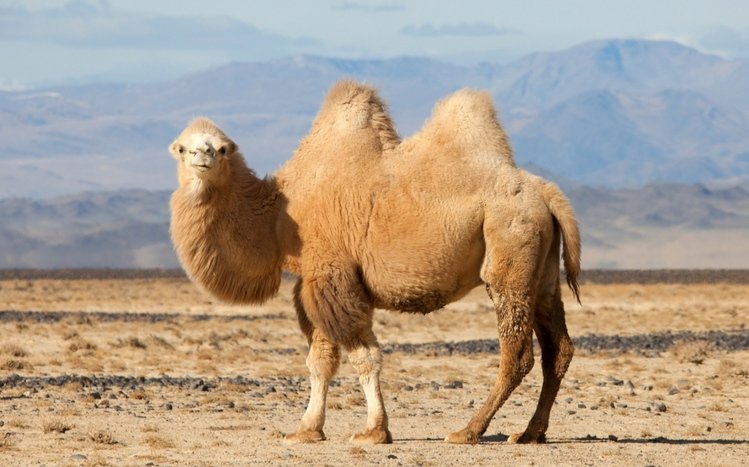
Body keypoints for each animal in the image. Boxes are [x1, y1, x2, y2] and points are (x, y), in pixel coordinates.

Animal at [168, 80, 581, 445]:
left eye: (222, 149)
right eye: (182, 148)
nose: (203, 157)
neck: (280, 216)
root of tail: (546, 193)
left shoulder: (333, 275)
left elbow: (363, 357)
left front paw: (374, 431)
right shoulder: (314, 283)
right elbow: (320, 360)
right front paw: (307, 430)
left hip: (510, 250)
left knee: (518, 353)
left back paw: (468, 431)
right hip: (542, 273)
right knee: (558, 349)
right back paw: (529, 433)